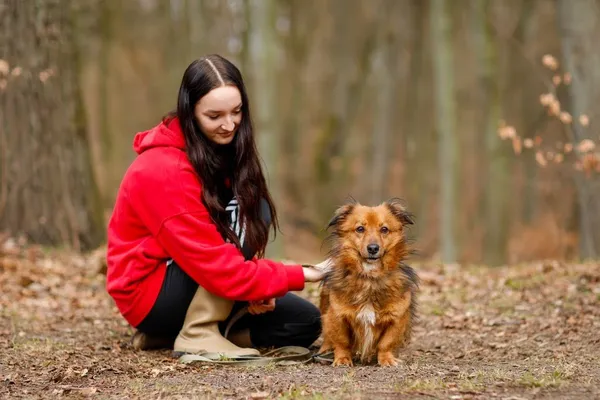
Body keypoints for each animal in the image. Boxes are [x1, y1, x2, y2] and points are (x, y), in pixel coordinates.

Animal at [318, 198, 418, 368]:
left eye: (384, 229)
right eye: (360, 229)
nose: (373, 248)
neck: (369, 277)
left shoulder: (397, 318)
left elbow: (386, 342)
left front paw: (387, 359)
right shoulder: (336, 316)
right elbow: (341, 342)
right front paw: (342, 359)